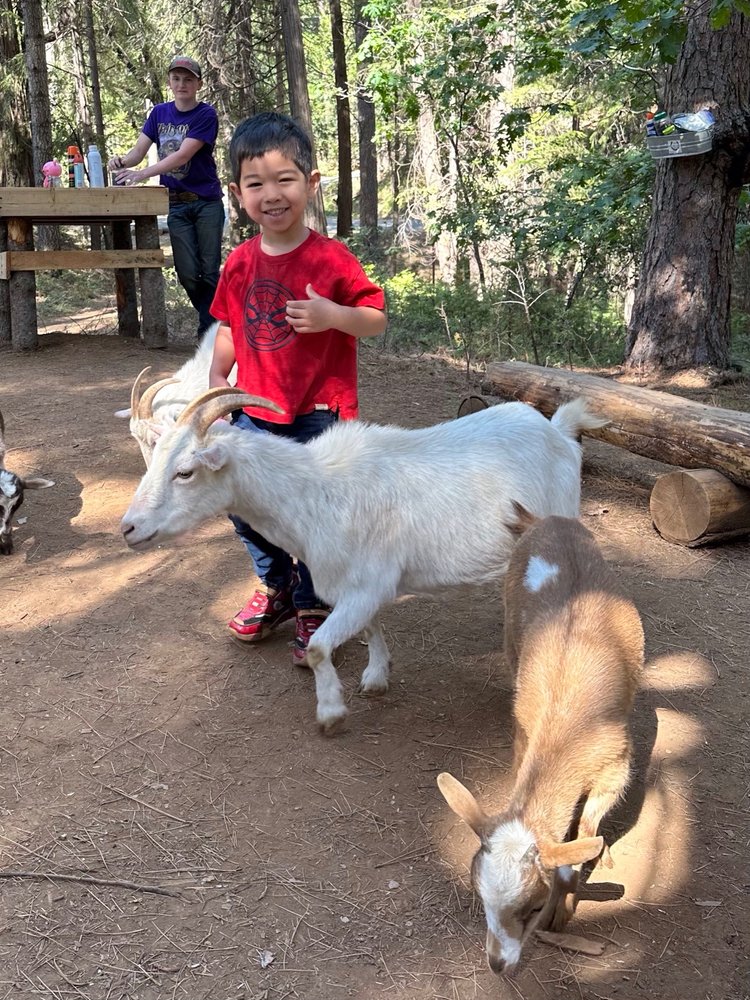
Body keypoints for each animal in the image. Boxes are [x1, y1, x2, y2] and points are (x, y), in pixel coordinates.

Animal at [120, 388, 607, 733]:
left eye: (185, 471)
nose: (128, 528)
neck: (313, 492)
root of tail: (558, 428)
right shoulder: (356, 586)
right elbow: (371, 627)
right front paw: (376, 677)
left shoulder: (365, 584)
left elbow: (318, 648)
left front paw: (331, 712)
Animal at [438, 505, 644, 975]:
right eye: (479, 898)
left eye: (531, 907)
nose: (498, 964)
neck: (569, 726)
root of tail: (542, 519)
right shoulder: (523, 736)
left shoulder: (617, 765)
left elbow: (584, 834)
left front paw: (564, 911)